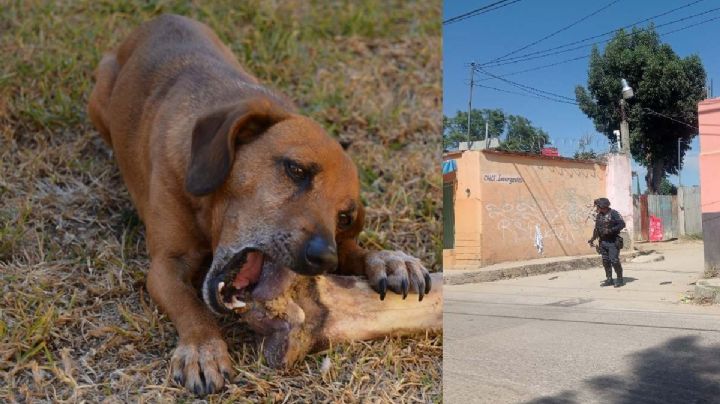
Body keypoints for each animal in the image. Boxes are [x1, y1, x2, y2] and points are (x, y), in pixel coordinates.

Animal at [87, 15, 430, 394]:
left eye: (343, 217)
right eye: (296, 170)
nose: (325, 259)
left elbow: (356, 251)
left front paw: (389, 260)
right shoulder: (165, 266)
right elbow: (191, 306)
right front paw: (202, 348)